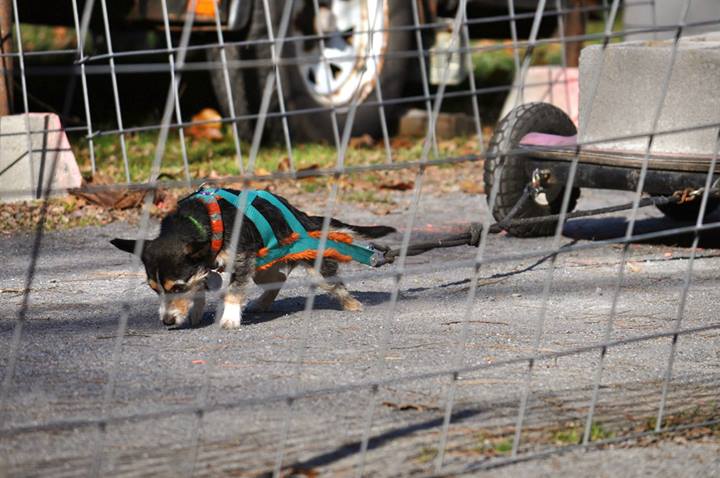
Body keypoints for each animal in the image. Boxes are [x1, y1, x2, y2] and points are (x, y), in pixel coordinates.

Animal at [109, 187, 396, 328]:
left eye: (177, 288)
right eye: (154, 290)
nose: (167, 321)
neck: (200, 221)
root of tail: (301, 215)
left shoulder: (241, 259)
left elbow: (233, 291)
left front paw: (229, 319)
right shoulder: (206, 266)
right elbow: (201, 287)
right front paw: (195, 312)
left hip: (310, 261)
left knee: (332, 281)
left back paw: (352, 304)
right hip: (263, 267)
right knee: (279, 277)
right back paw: (262, 303)